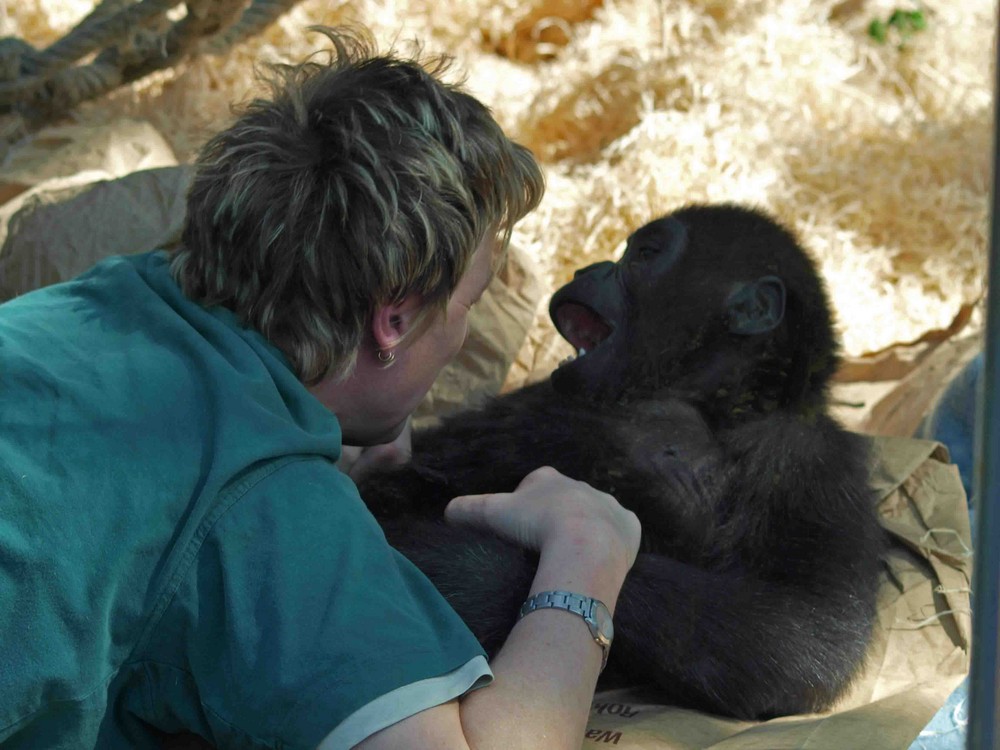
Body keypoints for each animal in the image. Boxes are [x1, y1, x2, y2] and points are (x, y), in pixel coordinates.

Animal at [360, 206, 884, 724]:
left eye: (645, 254)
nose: (586, 271)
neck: (710, 401)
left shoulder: (809, 458)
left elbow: (800, 627)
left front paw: (455, 572)